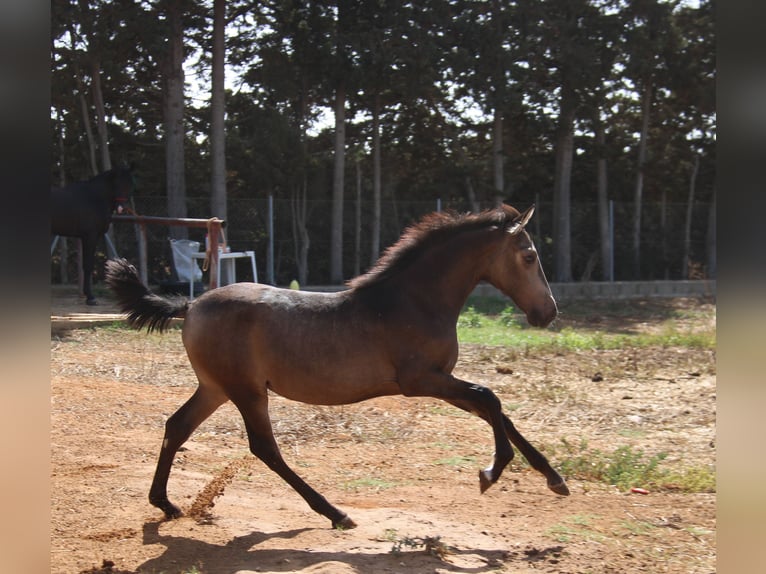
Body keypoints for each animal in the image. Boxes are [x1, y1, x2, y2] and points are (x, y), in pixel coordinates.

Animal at [51, 163, 135, 306]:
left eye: (129, 183)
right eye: (116, 183)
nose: (121, 208)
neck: (94, 198)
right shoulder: (90, 236)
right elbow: (88, 265)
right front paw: (90, 297)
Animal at [105, 204, 568, 532]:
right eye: (529, 256)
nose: (548, 312)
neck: (412, 301)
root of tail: (192, 304)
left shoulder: (441, 380)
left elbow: (498, 411)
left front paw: (554, 478)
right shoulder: (422, 380)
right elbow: (490, 398)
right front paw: (491, 472)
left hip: (216, 388)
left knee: (177, 425)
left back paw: (165, 503)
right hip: (246, 391)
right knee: (264, 448)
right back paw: (335, 513)